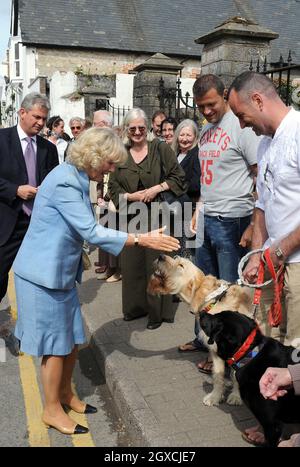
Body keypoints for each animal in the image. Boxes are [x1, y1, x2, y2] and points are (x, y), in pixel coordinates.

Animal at [148, 256, 253, 406]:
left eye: (181, 265)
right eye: (176, 258)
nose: (160, 256)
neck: (212, 301)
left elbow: (236, 375)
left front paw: (236, 396)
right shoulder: (216, 351)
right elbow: (218, 375)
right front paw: (215, 396)